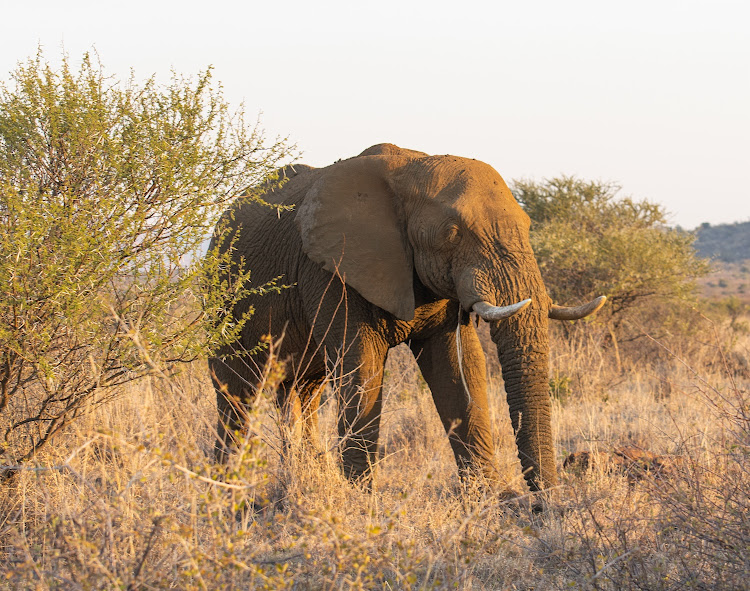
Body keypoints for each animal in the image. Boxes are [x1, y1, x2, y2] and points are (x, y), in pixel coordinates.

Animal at [209, 145, 608, 494]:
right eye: (452, 234)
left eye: (527, 227)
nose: (544, 505)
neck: (410, 169)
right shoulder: (331, 270)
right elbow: (363, 367)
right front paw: (361, 503)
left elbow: (461, 369)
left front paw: (491, 500)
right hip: (221, 298)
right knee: (236, 395)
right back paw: (225, 492)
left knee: (301, 391)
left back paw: (307, 482)